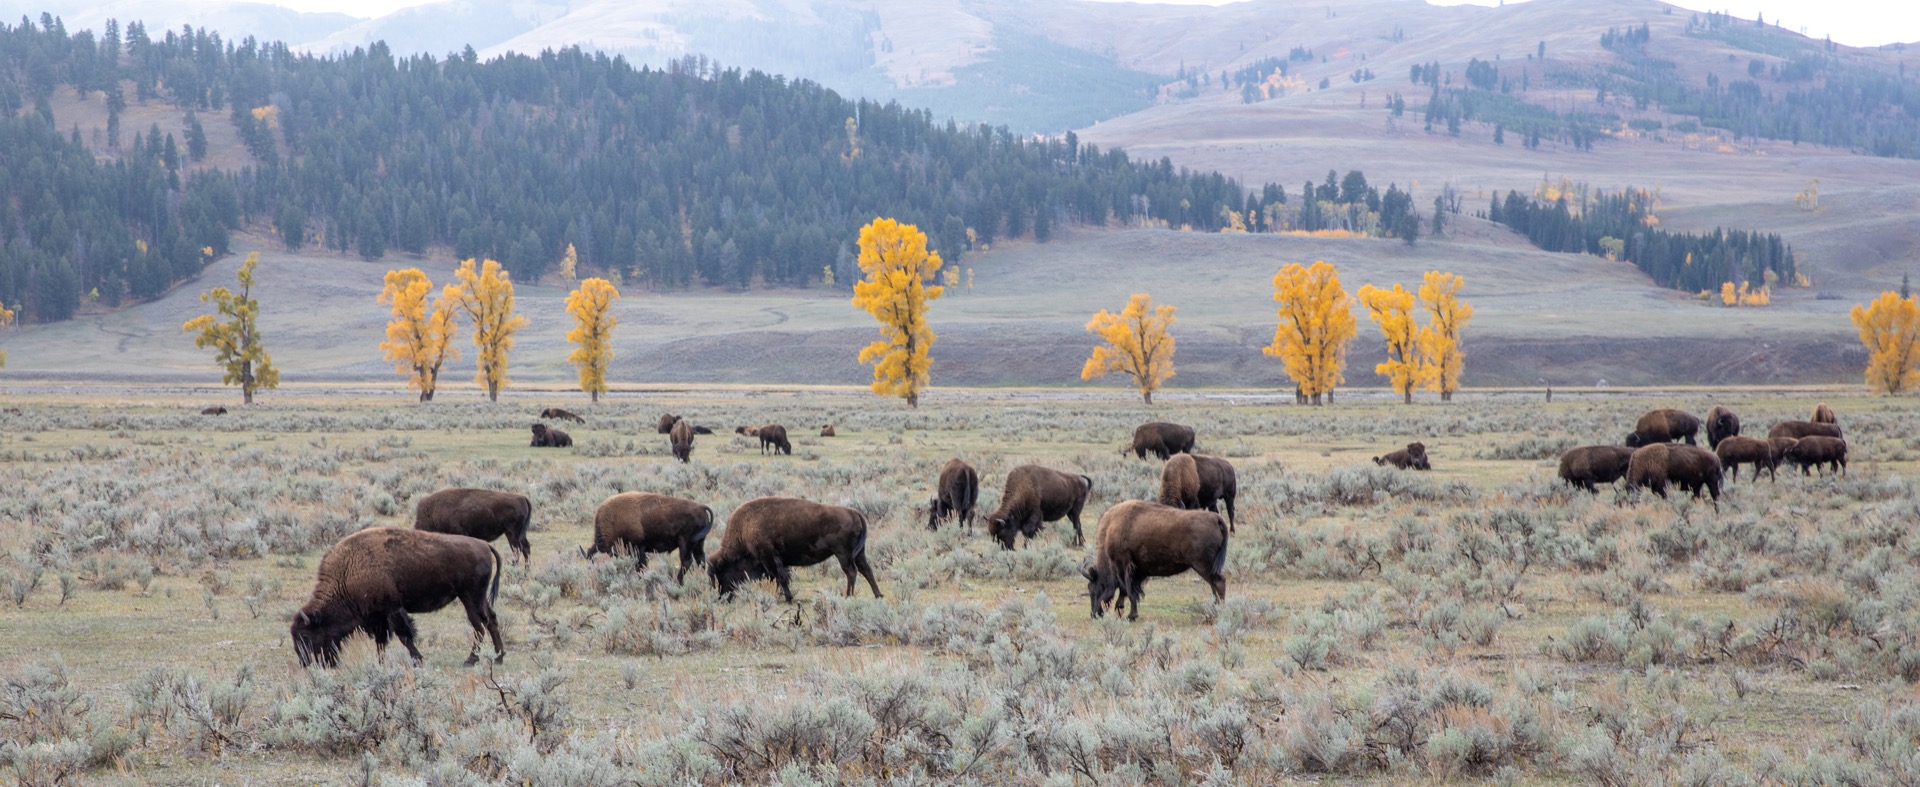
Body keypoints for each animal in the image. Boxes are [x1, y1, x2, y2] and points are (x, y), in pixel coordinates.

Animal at [290, 528, 504, 667]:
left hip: (469, 596)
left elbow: (404, 636)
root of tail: (484, 545)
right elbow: (381, 642)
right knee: (491, 619)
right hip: (478, 597)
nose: (304, 662)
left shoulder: (392, 610)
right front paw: (381, 663)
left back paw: (471, 660)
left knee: (479, 625)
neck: (348, 571)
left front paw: (418, 661)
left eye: (305, 636)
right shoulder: (377, 617)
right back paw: (499, 657)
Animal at [583, 492, 714, 583]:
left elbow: (640, 566)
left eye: (613, 553)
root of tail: (701, 507)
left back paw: (678, 582)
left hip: (685, 543)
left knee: (687, 561)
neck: (614, 519)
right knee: (700, 559)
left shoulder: (638, 548)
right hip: (698, 543)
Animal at [708, 497, 880, 602]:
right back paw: (878, 595)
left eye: (721, 572)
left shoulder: (769, 557)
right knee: (867, 570)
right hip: (859, 553)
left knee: (851, 572)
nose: (722, 597)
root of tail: (854, 512)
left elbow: (780, 577)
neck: (744, 528)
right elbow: (779, 578)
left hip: (843, 554)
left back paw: (848, 596)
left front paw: (788, 598)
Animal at [1084, 501, 1228, 621]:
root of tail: (1215, 518)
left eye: (1094, 588)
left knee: (1218, 582)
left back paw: (1217, 612)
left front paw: (1131, 615)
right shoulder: (1137, 571)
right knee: (1214, 585)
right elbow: (1127, 591)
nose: (1094, 614)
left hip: (1203, 565)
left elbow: (1129, 591)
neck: (1110, 528)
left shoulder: (1124, 566)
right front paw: (1122, 609)